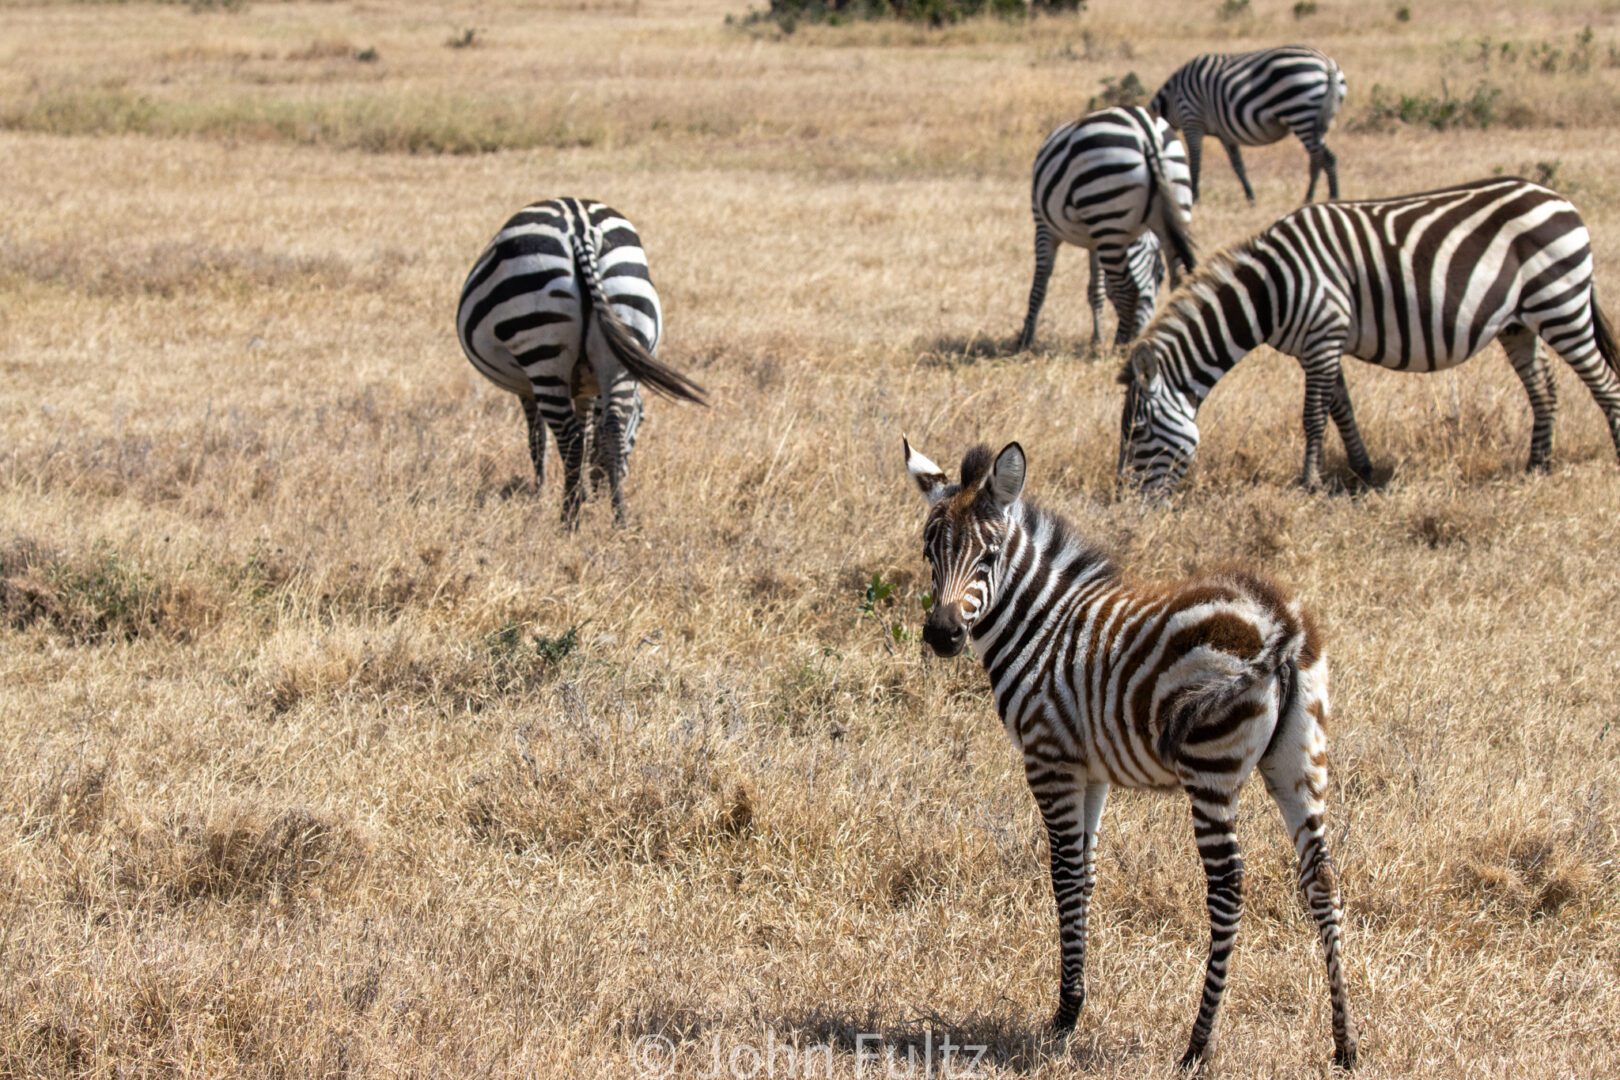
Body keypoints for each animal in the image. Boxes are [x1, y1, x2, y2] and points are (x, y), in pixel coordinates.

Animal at [460, 199, 706, 531]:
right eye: (642, 422)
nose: (609, 483)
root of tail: (579, 224)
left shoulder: (527, 389)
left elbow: (538, 439)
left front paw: (542, 492)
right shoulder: (586, 387)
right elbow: (591, 432)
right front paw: (587, 492)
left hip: (541, 347)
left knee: (570, 440)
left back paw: (568, 520)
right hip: (624, 324)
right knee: (611, 429)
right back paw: (619, 519)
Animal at [907, 440, 1360, 1075]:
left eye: (989, 556)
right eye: (929, 550)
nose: (942, 636)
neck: (1040, 627)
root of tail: (1282, 626)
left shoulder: (1049, 759)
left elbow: (1064, 874)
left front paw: (1066, 1013)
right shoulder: (1090, 770)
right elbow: (1086, 873)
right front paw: (1074, 999)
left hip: (1212, 771)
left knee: (1228, 890)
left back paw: (1198, 1044)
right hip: (1299, 765)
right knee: (1322, 880)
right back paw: (1345, 1043)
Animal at [1017, 106, 1198, 351]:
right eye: (1158, 277)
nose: (1138, 334)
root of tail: (1146, 131)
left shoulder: (1044, 227)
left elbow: (1040, 283)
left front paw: (1025, 339)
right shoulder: (1095, 241)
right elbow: (1097, 290)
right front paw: (1097, 338)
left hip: (1107, 209)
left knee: (1127, 289)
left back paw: (1120, 345)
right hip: (1176, 201)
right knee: (1179, 279)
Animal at [1121, 179, 1620, 492]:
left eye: (1138, 429)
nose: (1127, 500)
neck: (1270, 290)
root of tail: (1561, 200)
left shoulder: (1323, 333)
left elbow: (1313, 415)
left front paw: (1309, 483)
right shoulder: (1319, 344)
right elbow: (1341, 408)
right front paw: (1362, 470)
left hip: (1561, 305)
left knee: (1605, 383)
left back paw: (1614, 456)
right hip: (1519, 323)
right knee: (1545, 388)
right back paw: (1537, 466)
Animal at [1146, 44, 1347, 204]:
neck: (1172, 100)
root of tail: (1327, 64)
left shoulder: (1192, 119)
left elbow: (1195, 161)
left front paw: (1194, 196)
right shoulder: (1225, 133)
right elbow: (1238, 165)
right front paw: (1251, 197)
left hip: (1300, 111)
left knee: (1325, 158)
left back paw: (1328, 198)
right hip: (1315, 119)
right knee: (1319, 158)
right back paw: (1315, 198)